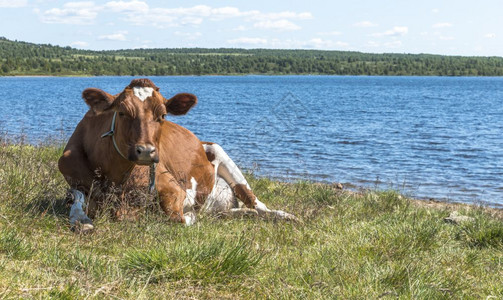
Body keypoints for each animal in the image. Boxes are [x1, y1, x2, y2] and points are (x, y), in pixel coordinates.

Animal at [57, 78, 298, 231]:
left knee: (257, 204)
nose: (146, 151)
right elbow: (76, 199)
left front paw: (190, 216)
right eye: (122, 112)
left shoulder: (173, 187)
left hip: (220, 152)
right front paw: (81, 220)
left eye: (163, 115)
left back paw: (285, 216)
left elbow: (177, 217)